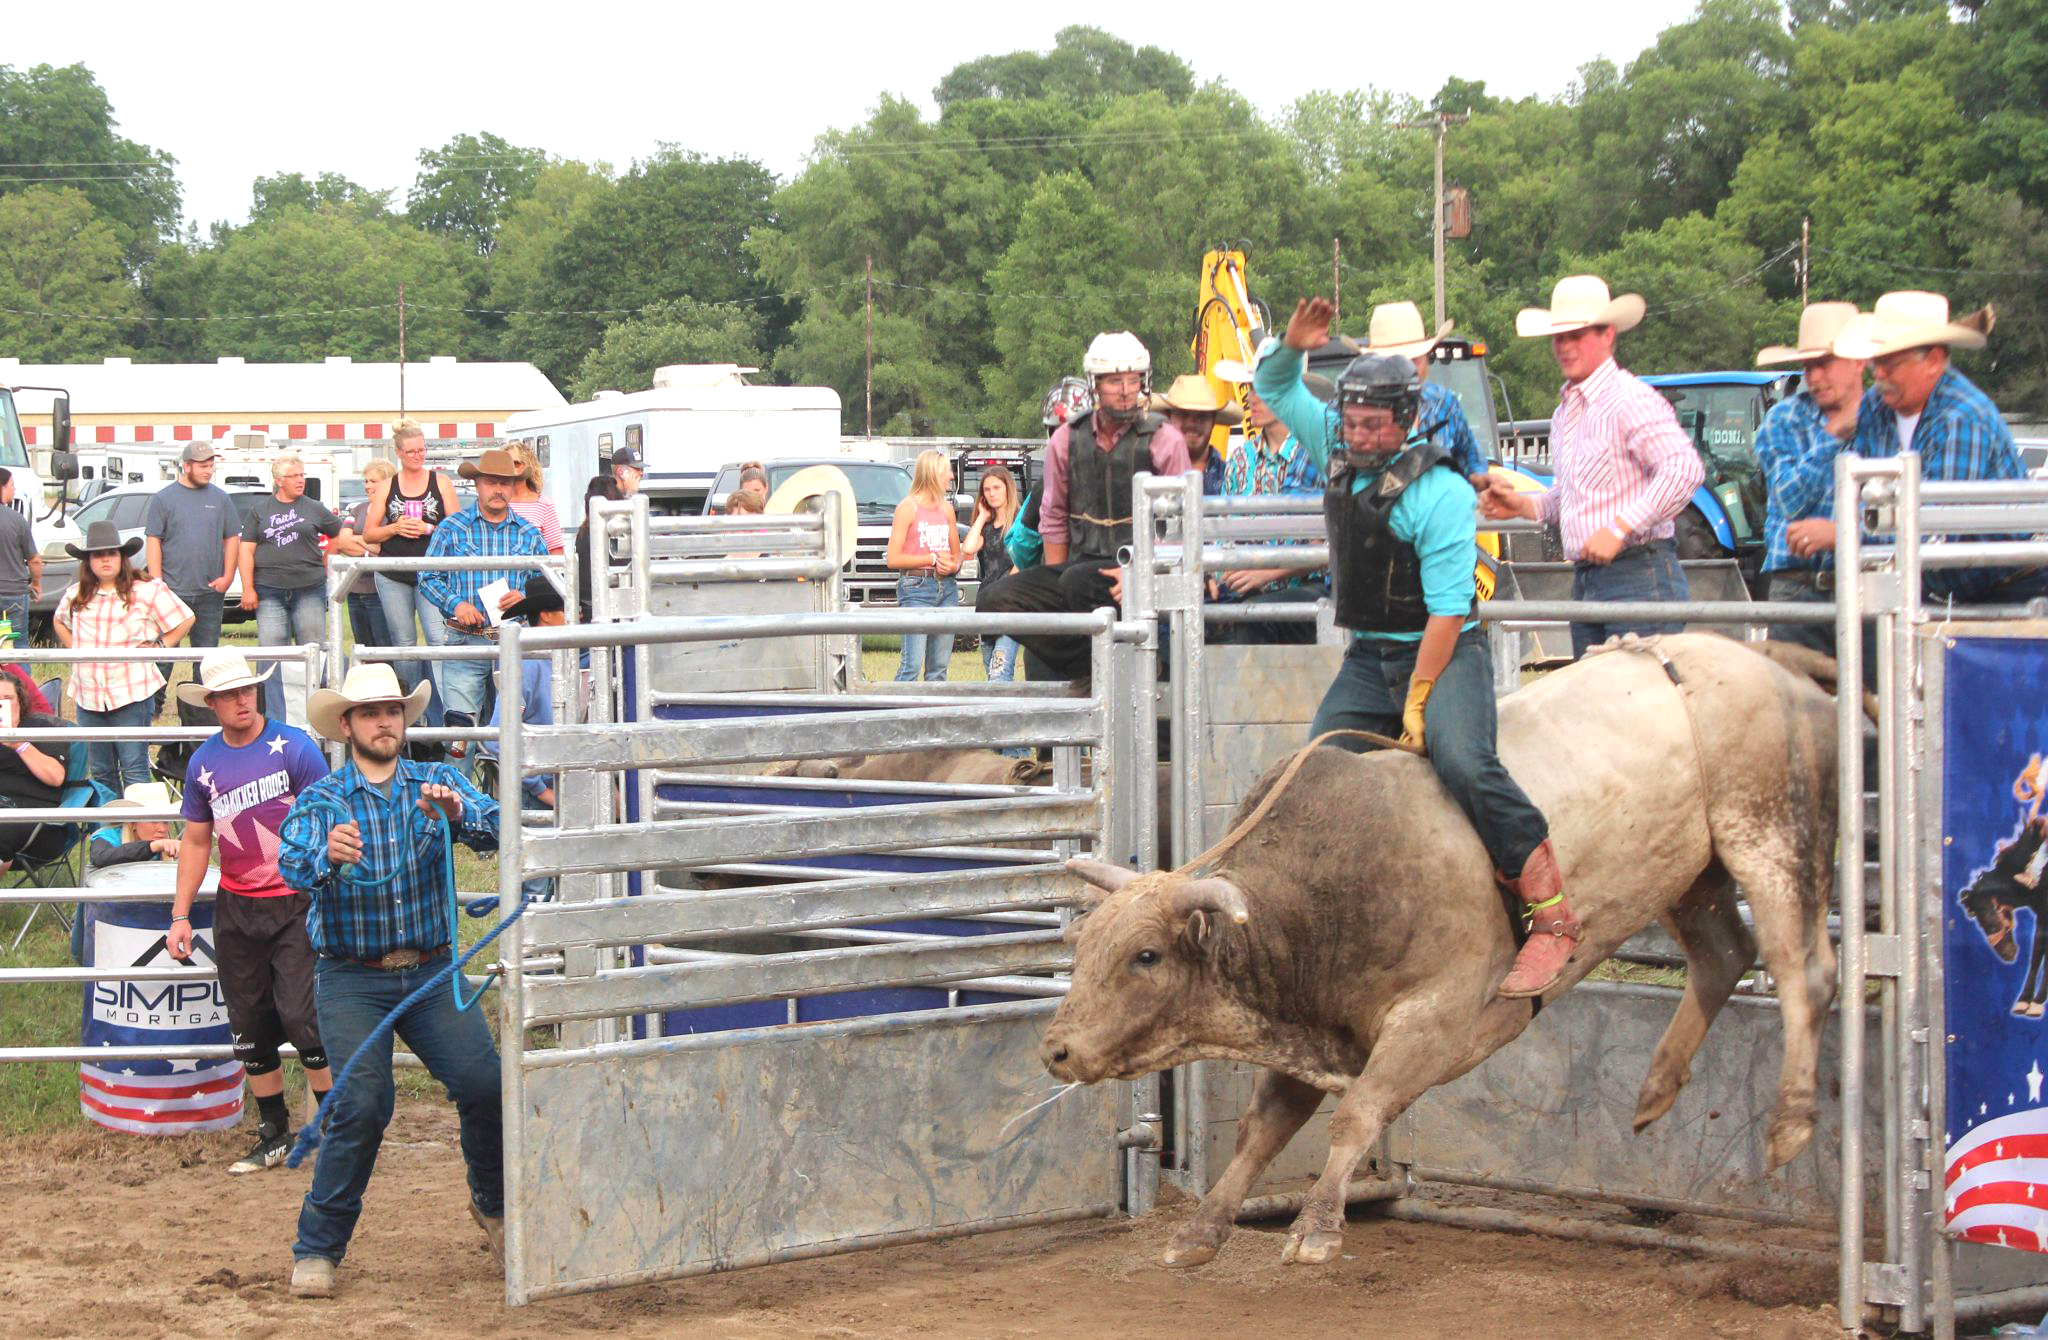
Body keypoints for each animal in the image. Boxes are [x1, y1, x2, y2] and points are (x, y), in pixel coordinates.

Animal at [1040, 639, 1843, 1270]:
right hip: (1691, 870)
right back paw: (1655, 1090)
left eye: (1146, 956)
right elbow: (1263, 1129)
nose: (1056, 1049)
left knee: (1806, 972)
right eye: (1085, 944)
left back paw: (1789, 1126)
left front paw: (1317, 1230)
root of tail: (1765, 658)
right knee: (1723, 953)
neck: (1333, 886)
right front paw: (1202, 1229)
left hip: (1770, 829)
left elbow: (1357, 1114)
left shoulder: (1437, 1022)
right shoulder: (1311, 1024)